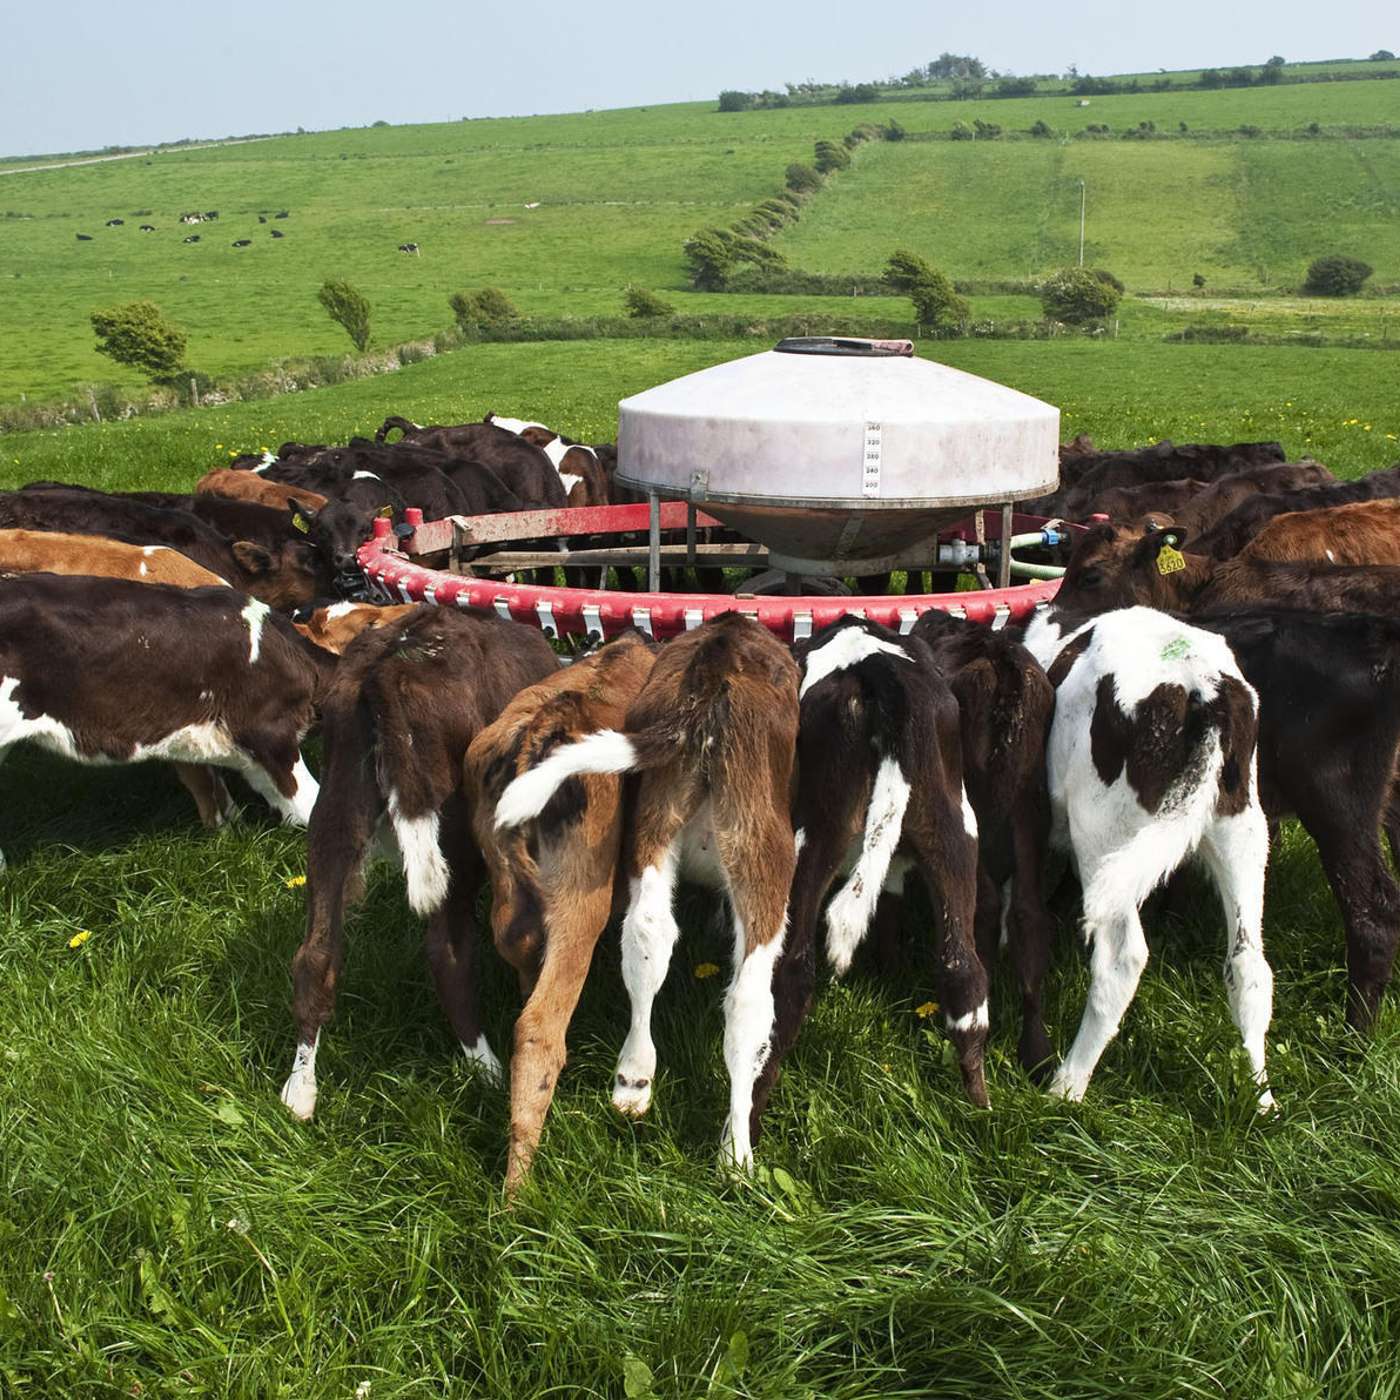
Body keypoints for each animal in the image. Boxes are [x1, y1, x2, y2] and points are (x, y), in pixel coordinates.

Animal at [278, 607, 558, 1125]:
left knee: (315, 955)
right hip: (457, 832)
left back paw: (299, 1093)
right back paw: (486, 1068)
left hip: (335, 813)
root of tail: (392, 664)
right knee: (447, 950)